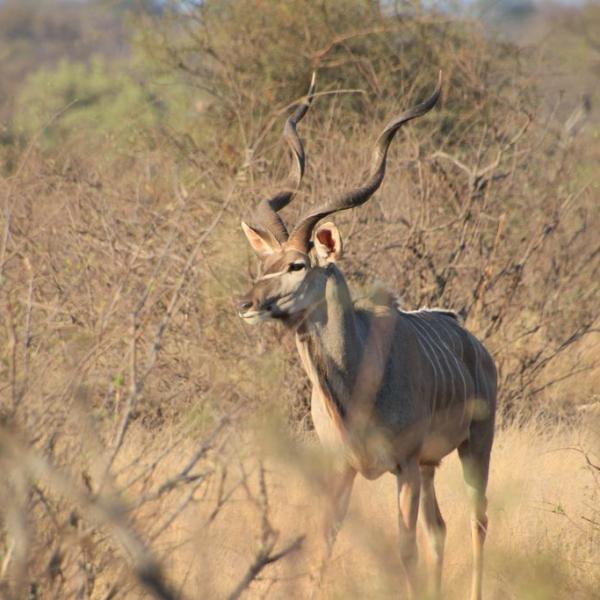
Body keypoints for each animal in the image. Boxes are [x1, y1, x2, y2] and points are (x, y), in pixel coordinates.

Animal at [238, 76, 496, 600]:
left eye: (297, 265)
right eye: (264, 263)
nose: (247, 304)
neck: (359, 377)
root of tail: (476, 347)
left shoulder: (403, 467)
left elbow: (405, 550)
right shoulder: (343, 470)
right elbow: (324, 545)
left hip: (474, 447)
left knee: (476, 523)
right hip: (431, 466)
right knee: (441, 529)